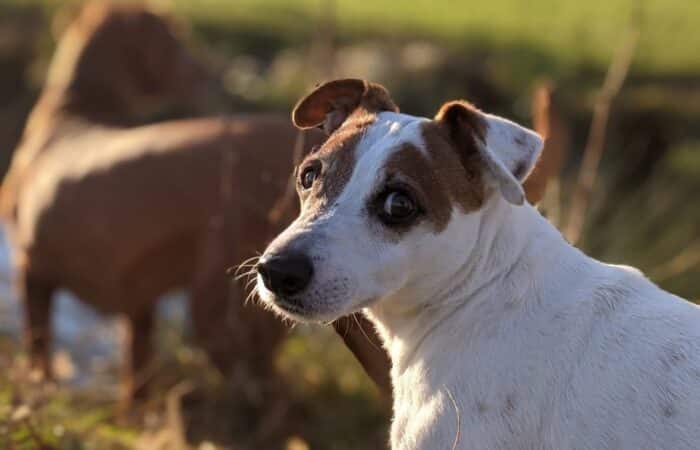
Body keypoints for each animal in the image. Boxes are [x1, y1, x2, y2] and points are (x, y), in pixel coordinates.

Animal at [2, 3, 392, 404]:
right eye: (179, 38)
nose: (208, 74)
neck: (76, 108)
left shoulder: (32, 272)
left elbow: (40, 358)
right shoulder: (138, 302)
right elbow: (136, 379)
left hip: (222, 316)